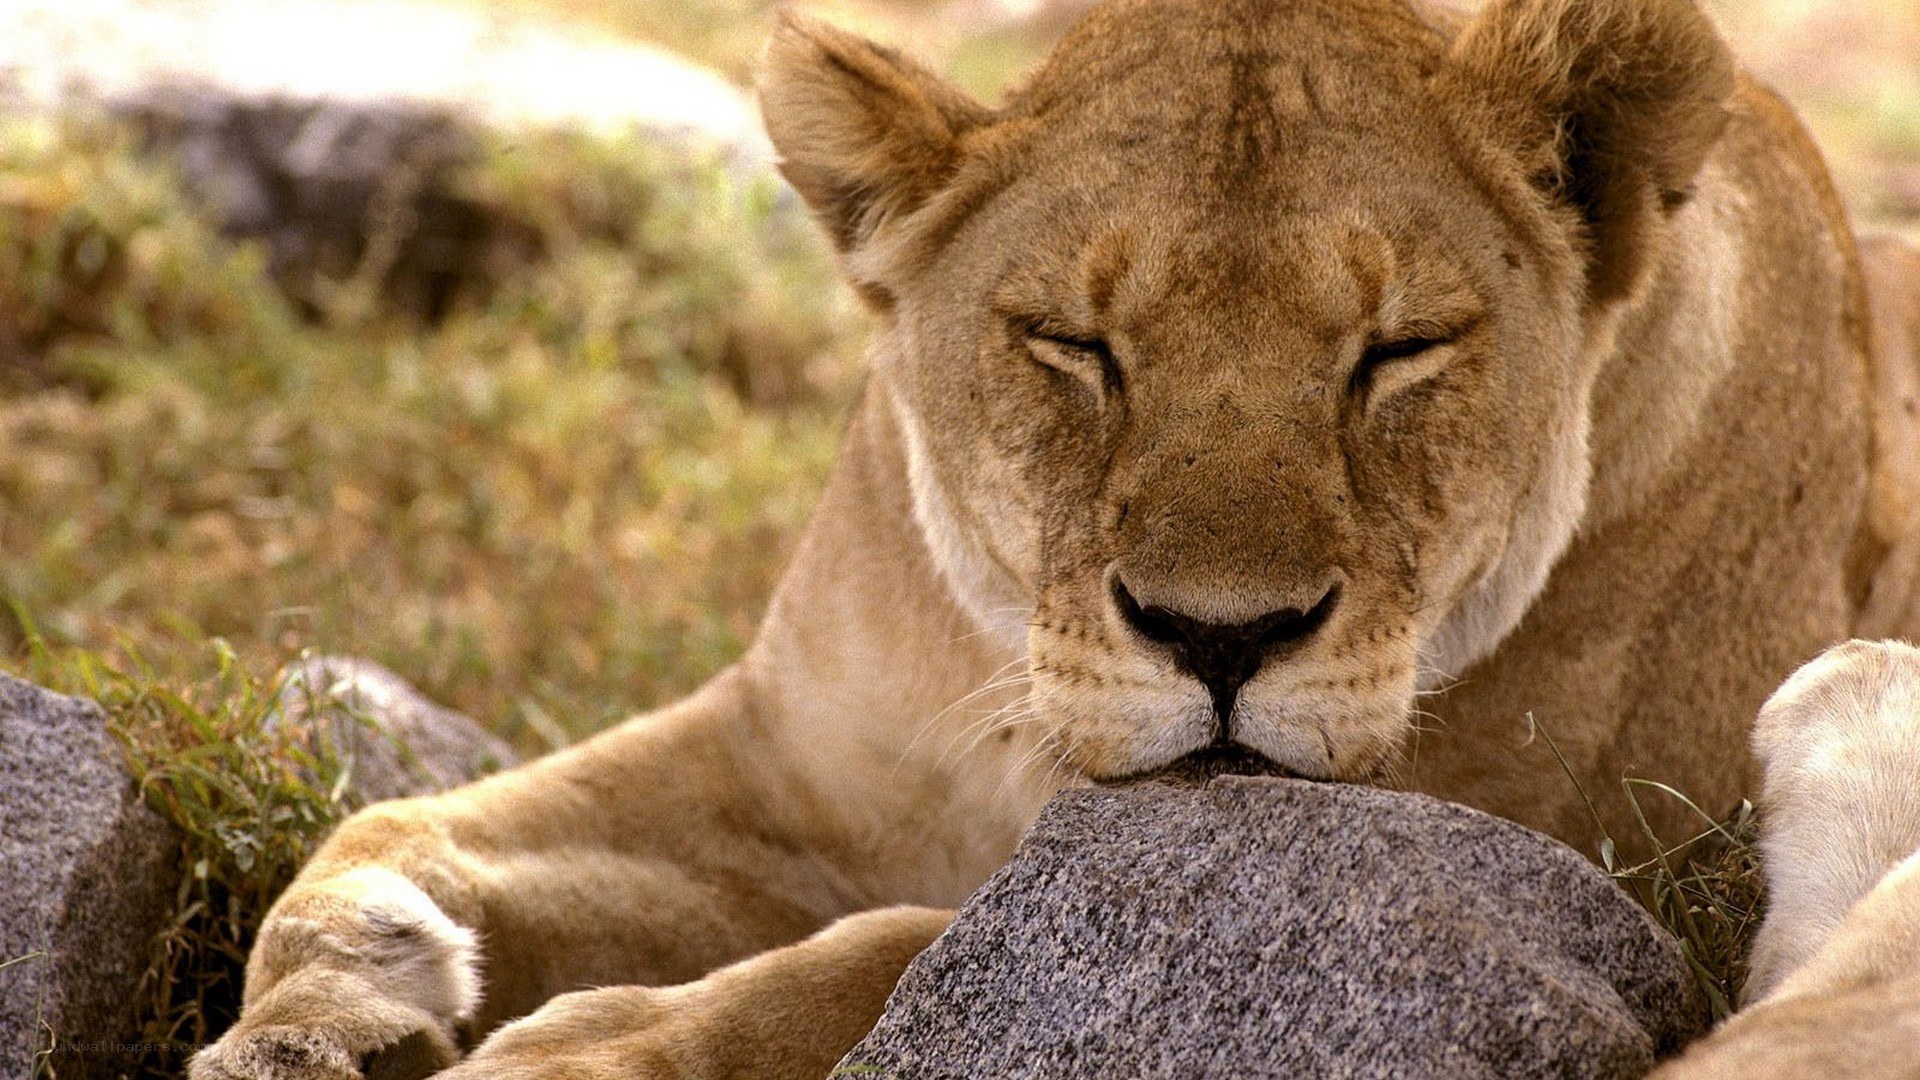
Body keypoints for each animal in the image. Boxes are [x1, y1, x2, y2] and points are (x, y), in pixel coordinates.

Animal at [189, 0, 1920, 1076]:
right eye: (1074, 345)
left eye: (1400, 351)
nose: (1222, 637)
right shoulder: (786, 767)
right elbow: (404, 829)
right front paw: (327, 1008)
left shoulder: (1557, 872)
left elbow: (894, 950)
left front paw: (590, 1051)